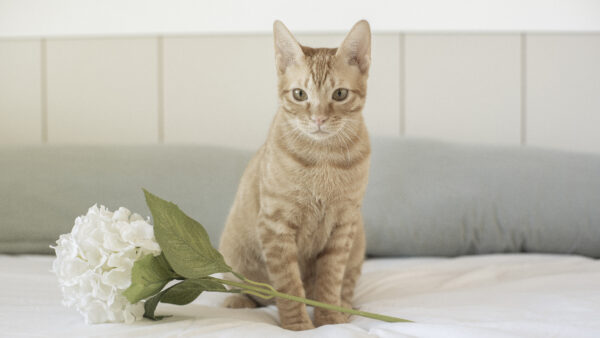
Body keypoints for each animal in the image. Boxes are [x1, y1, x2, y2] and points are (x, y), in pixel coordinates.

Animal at [219, 19, 370, 330]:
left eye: (339, 94)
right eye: (300, 94)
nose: (319, 118)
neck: (324, 158)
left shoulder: (344, 224)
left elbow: (330, 280)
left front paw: (330, 319)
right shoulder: (275, 224)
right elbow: (289, 285)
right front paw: (298, 325)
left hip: (358, 241)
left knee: (347, 285)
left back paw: (347, 308)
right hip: (232, 250)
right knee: (246, 289)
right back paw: (238, 300)